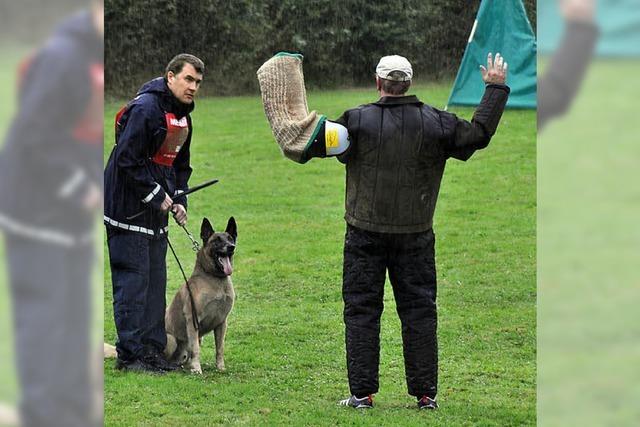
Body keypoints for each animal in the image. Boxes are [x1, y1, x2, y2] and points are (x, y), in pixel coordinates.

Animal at [164, 217, 236, 374]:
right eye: (217, 240)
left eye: (230, 238)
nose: (231, 247)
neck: (215, 278)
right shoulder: (193, 320)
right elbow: (195, 349)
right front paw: (197, 369)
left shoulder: (222, 322)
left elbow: (220, 348)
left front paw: (220, 367)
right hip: (171, 339)